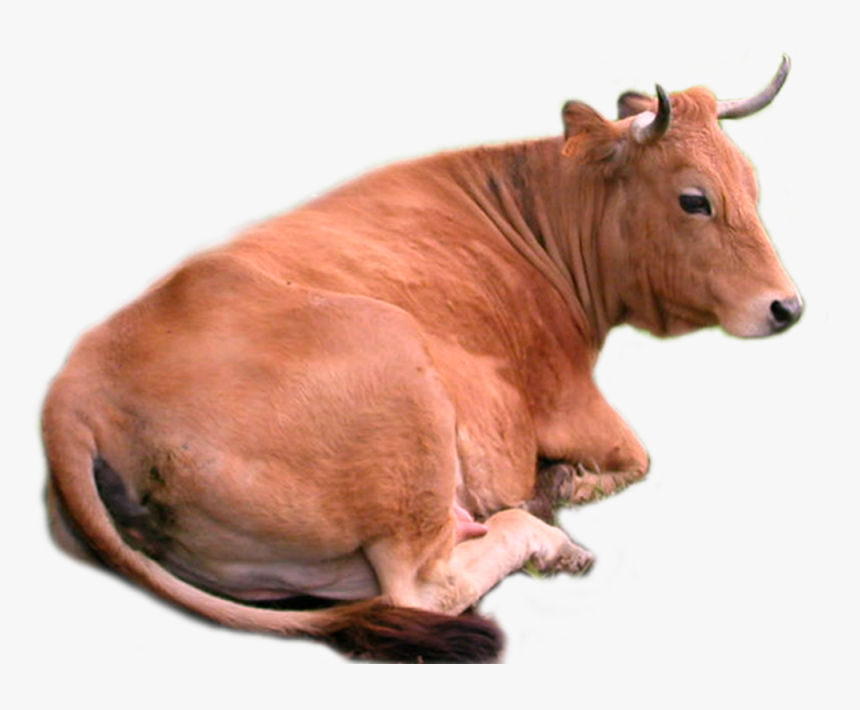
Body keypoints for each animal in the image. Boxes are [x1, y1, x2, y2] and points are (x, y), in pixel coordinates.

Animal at [42, 57, 802, 663]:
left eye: (754, 185)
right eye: (694, 199)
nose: (787, 307)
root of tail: (74, 389)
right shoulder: (568, 399)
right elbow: (637, 458)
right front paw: (567, 485)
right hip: (400, 383)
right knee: (422, 586)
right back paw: (548, 533)